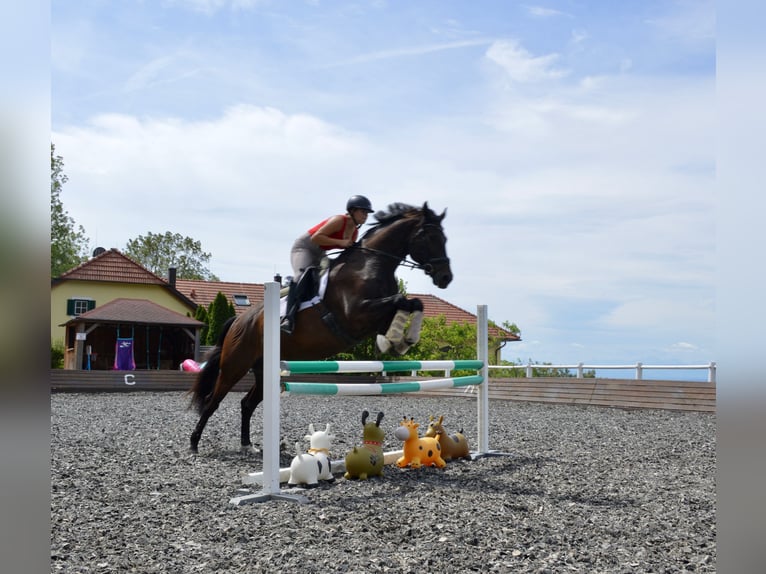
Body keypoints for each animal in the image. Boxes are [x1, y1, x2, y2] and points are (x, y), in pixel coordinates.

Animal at [189, 202, 453, 453]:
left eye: (444, 239)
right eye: (430, 237)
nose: (445, 278)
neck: (372, 263)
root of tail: (240, 320)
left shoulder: (377, 317)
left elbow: (412, 303)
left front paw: (398, 341)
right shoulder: (357, 314)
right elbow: (400, 300)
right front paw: (396, 340)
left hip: (263, 370)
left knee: (247, 404)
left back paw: (247, 445)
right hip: (235, 364)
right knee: (213, 401)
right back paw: (194, 444)